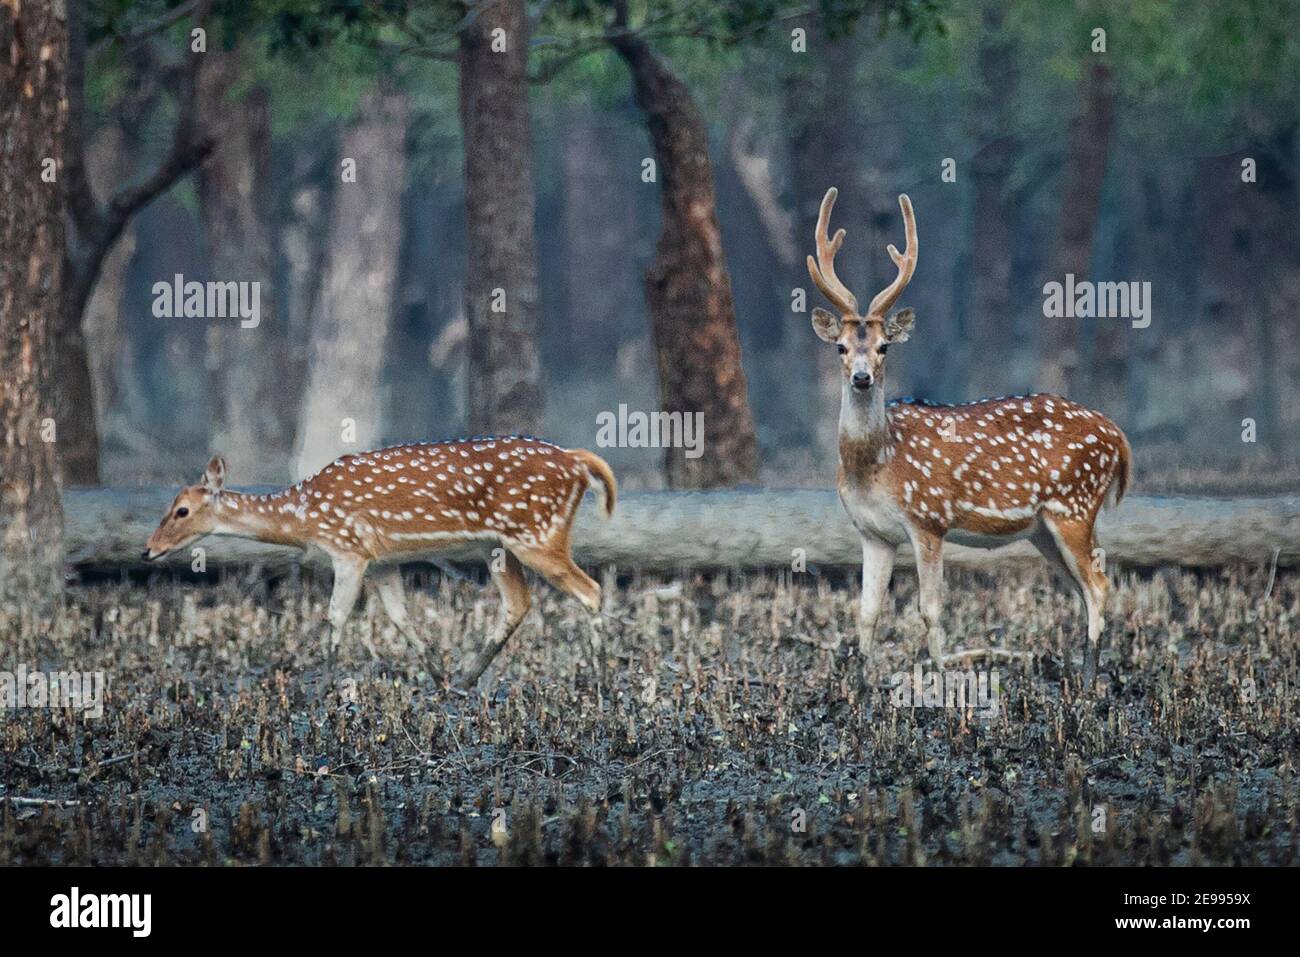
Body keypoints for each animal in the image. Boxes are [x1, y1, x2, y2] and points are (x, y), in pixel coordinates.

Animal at [139, 436, 616, 686]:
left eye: (181, 510)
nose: (147, 549)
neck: (305, 516)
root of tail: (578, 461)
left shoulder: (348, 547)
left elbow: (335, 615)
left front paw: (324, 684)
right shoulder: (383, 559)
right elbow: (399, 616)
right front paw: (435, 673)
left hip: (536, 532)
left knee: (591, 590)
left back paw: (598, 676)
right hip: (496, 543)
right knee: (519, 602)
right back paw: (466, 678)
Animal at [806, 187, 1133, 686]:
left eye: (884, 346)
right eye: (841, 347)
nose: (862, 377)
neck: (875, 464)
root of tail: (1117, 436)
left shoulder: (928, 518)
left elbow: (931, 609)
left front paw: (939, 678)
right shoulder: (872, 532)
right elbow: (866, 611)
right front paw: (860, 686)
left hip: (1074, 505)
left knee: (1099, 585)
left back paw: (1089, 683)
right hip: (1044, 528)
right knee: (1083, 588)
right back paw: (1079, 673)